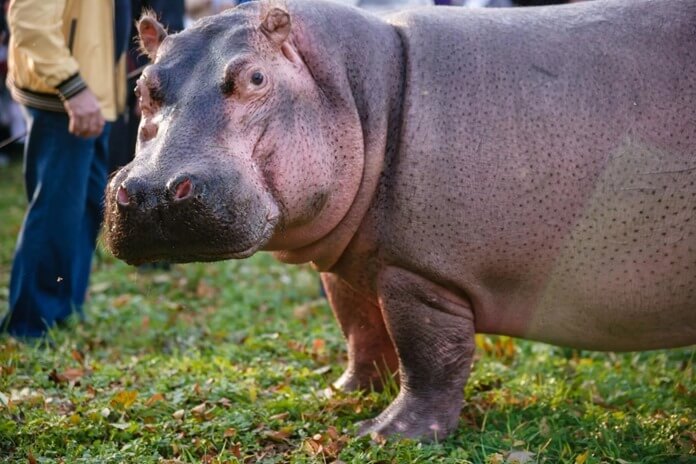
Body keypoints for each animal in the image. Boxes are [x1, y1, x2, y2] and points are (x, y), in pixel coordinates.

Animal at [104, 0, 696, 440]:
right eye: (141, 87)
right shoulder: (353, 264)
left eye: (254, 76)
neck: (357, 87)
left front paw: (386, 434)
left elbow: (431, 357)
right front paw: (342, 394)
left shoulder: (423, 275)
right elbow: (361, 331)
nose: (154, 192)